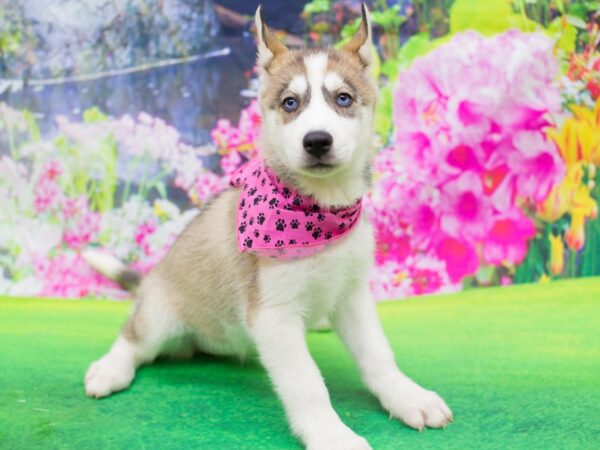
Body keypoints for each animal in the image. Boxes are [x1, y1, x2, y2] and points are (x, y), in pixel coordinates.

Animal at [83, 4, 450, 450]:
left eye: (343, 98)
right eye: (290, 102)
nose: (317, 141)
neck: (321, 212)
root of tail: (152, 280)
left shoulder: (352, 293)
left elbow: (379, 354)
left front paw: (407, 396)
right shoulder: (273, 316)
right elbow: (308, 384)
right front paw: (332, 434)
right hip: (160, 317)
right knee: (133, 337)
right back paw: (110, 369)